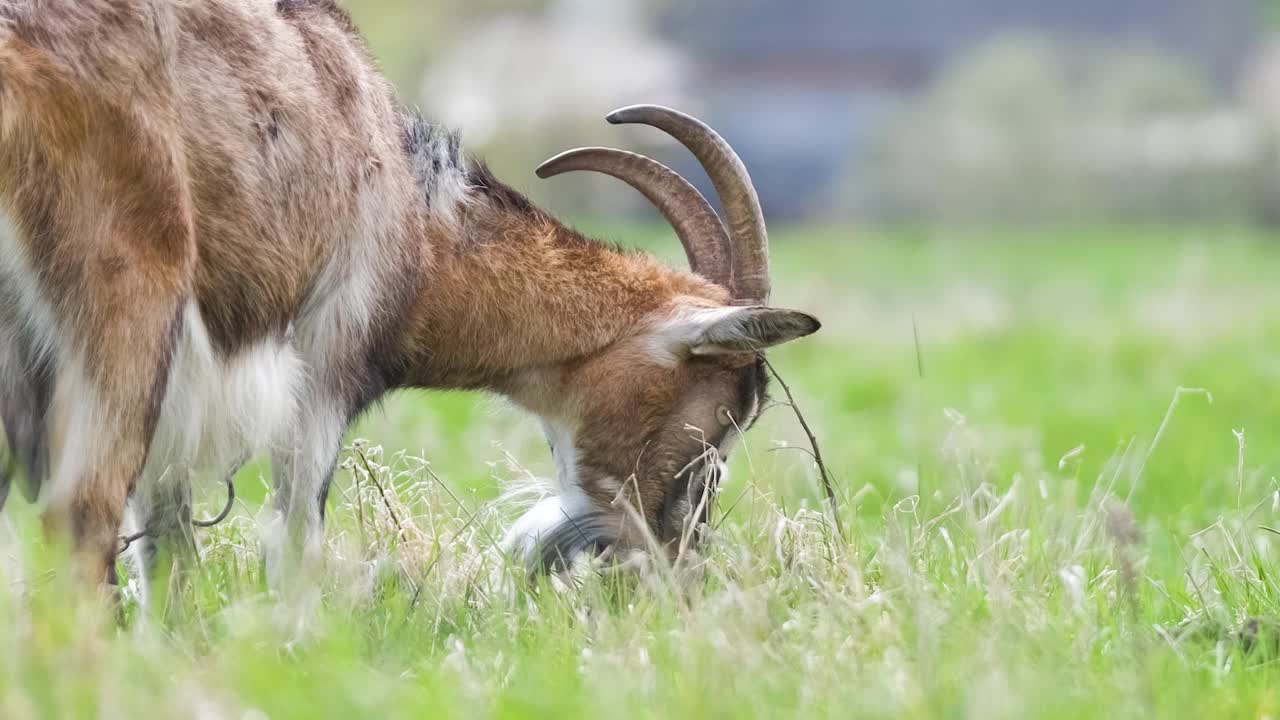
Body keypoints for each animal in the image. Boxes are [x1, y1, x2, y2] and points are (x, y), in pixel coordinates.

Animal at [0, 0, 819, 597]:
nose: (665, 573)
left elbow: (168, 551)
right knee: (82, 509)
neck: (415, 211)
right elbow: (291, 540)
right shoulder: (323, 368)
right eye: (718, 422)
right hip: (125, 299)